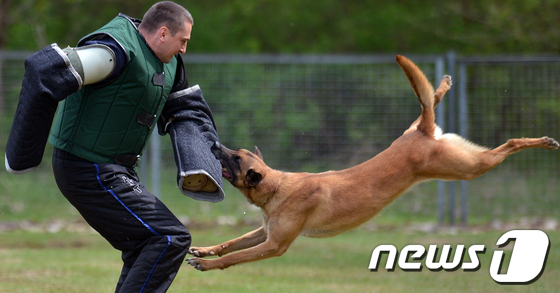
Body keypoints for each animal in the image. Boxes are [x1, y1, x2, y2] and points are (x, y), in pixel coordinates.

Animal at [187, 54, 556, 270]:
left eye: (234, 157)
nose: (215, 144)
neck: (279, 188)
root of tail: (422, 133)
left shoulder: (274, 245)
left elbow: (236, 255)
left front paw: (208, 265)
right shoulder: (263, 232)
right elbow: (230, 243)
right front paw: (204, 250)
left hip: (466, 167)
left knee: (507, 145)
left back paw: (543, 141)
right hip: (419, 132)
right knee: (428, 102)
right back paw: (443, 85)